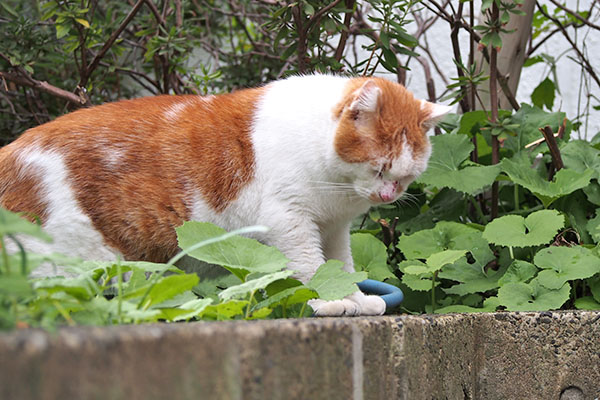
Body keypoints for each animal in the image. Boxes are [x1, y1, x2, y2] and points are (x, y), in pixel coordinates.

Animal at [0, 74, 450, 316]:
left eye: (406, 177)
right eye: (379, 168)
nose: (388, 196)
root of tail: (11, 152)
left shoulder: (334, 227)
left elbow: (339, 266)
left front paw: (354, 297)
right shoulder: (289, 219)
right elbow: (308, 266)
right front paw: (326, 303)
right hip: (77, 264)